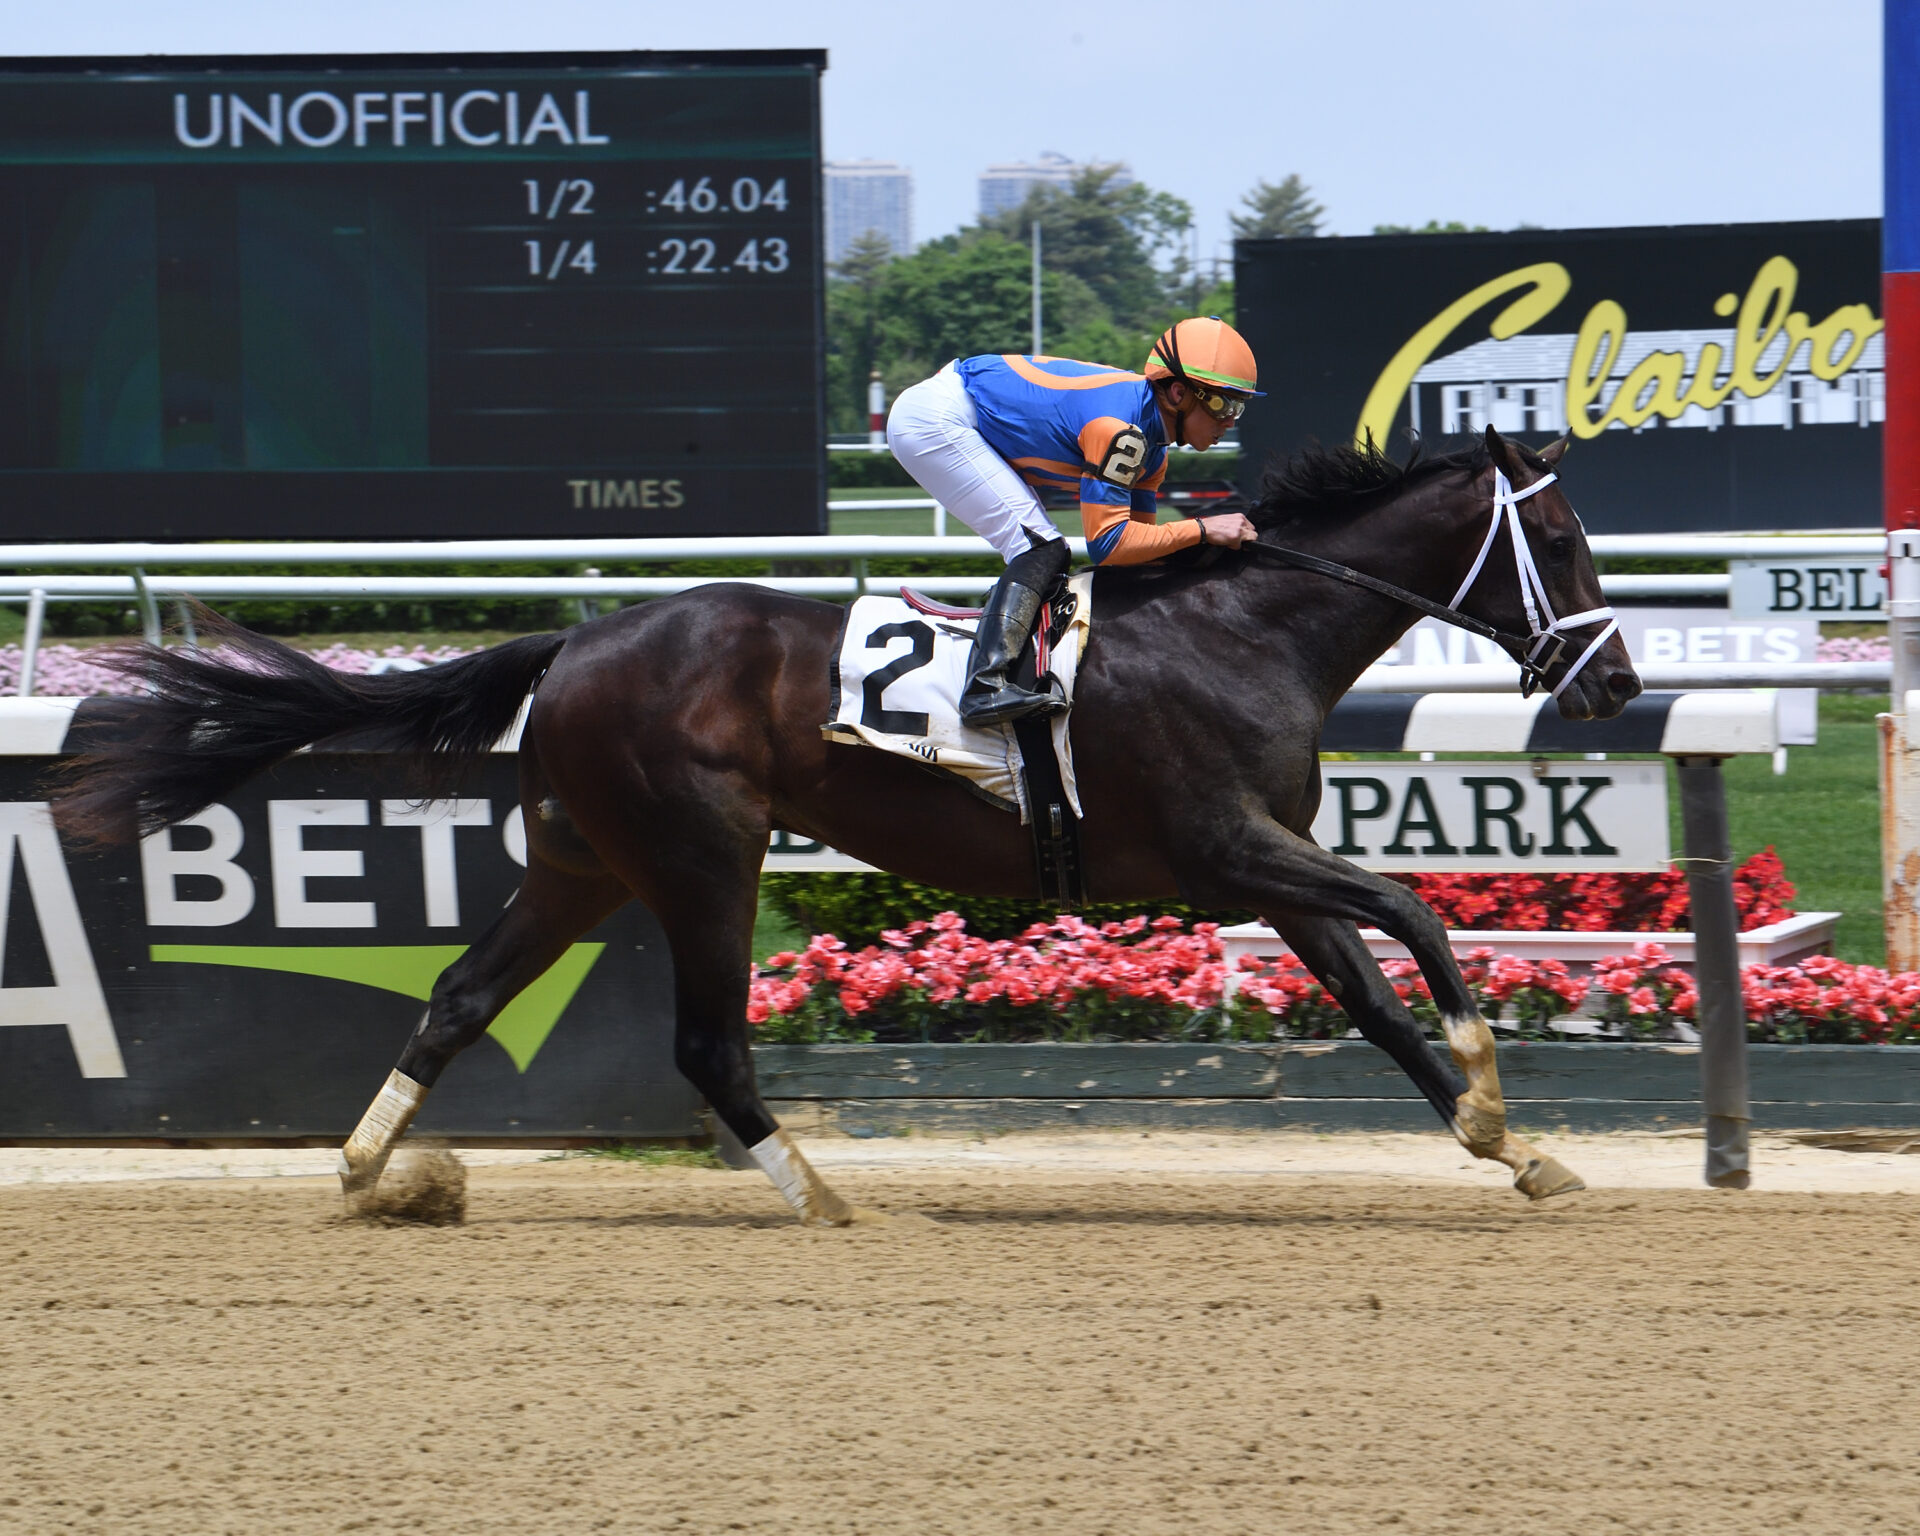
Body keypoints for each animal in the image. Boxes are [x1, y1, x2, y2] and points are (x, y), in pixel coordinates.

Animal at [67, 432, 1643, 1221]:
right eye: (1564, 539)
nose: (1619, 682)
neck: (1245, 626)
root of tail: (577, 643)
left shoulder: (1272, 868)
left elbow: (1373, 996)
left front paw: (1518, 1151)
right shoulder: (1225, 850)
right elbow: (1420, 912)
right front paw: (1494, 1084)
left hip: (585, 860)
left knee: (459, 995)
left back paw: (365, 1168)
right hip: (702, 851)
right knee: (707, 1043)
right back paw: (822, 1195)